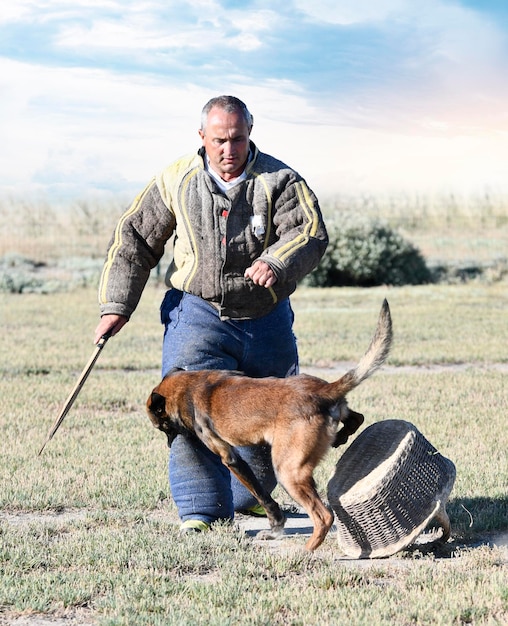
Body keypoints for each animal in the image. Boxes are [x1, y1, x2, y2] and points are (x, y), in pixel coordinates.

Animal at [147, 298, 392, 544]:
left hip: (288, 471)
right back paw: (340, 437)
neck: (188, 386)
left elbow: (262, 495)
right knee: (356, 418)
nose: (169, 444)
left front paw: (276, 526)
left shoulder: (231, 458)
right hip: (331, 422)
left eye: (163, 428)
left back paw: (308, 548)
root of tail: (323, 391)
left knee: (323, 516)